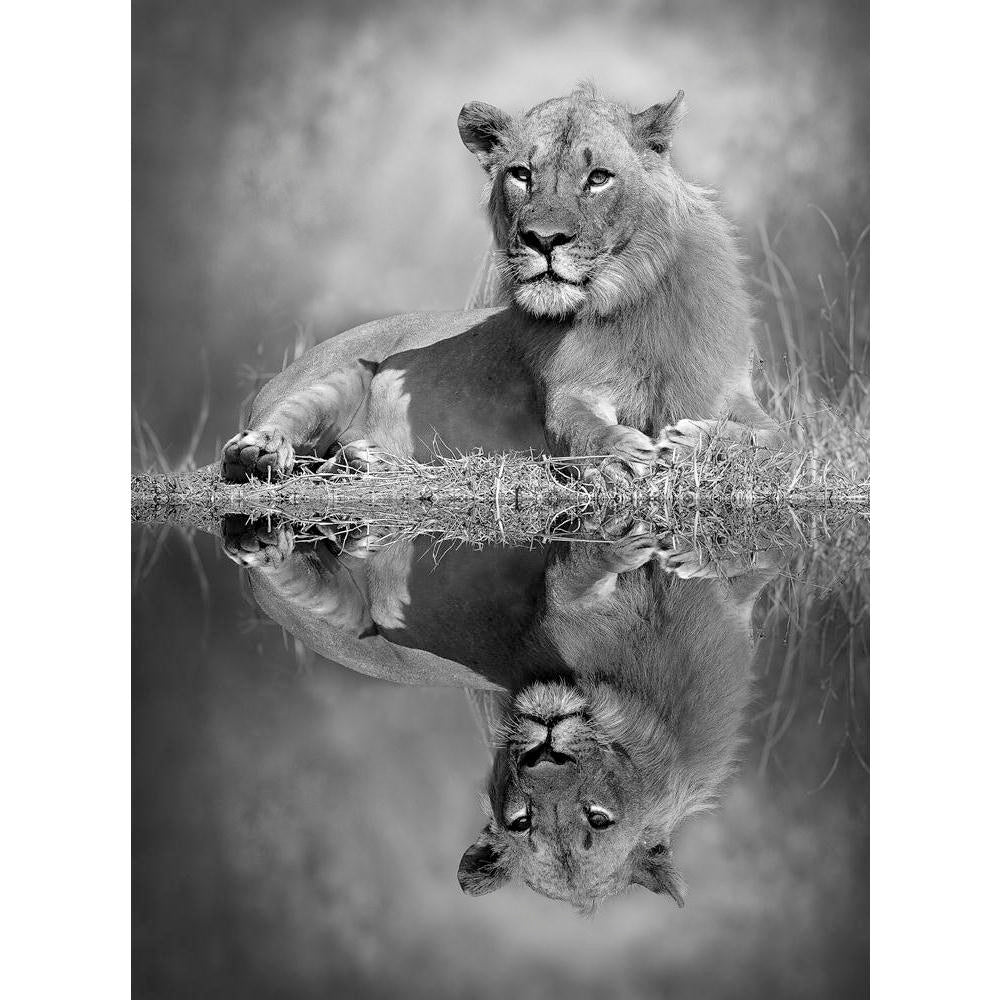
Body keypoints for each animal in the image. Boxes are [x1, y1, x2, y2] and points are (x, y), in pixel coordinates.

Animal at [221, 83, 780, 482]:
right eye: (521, 174)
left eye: (598, 177)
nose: (543, 239)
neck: (627, 297)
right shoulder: (566, 394)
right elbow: (580, 428)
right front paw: (620, 456)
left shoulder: (731, 392)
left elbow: (774, 441)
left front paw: (689, 441)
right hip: (342, 372)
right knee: (272, 436)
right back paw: (262, 451)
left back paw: (367, 458)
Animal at [222, 519, 780, 909]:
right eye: (521, 821)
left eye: (598, 819)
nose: (544, 753)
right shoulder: (564, 613)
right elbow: (575, 578)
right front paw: (623, 545)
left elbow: (751, 562)